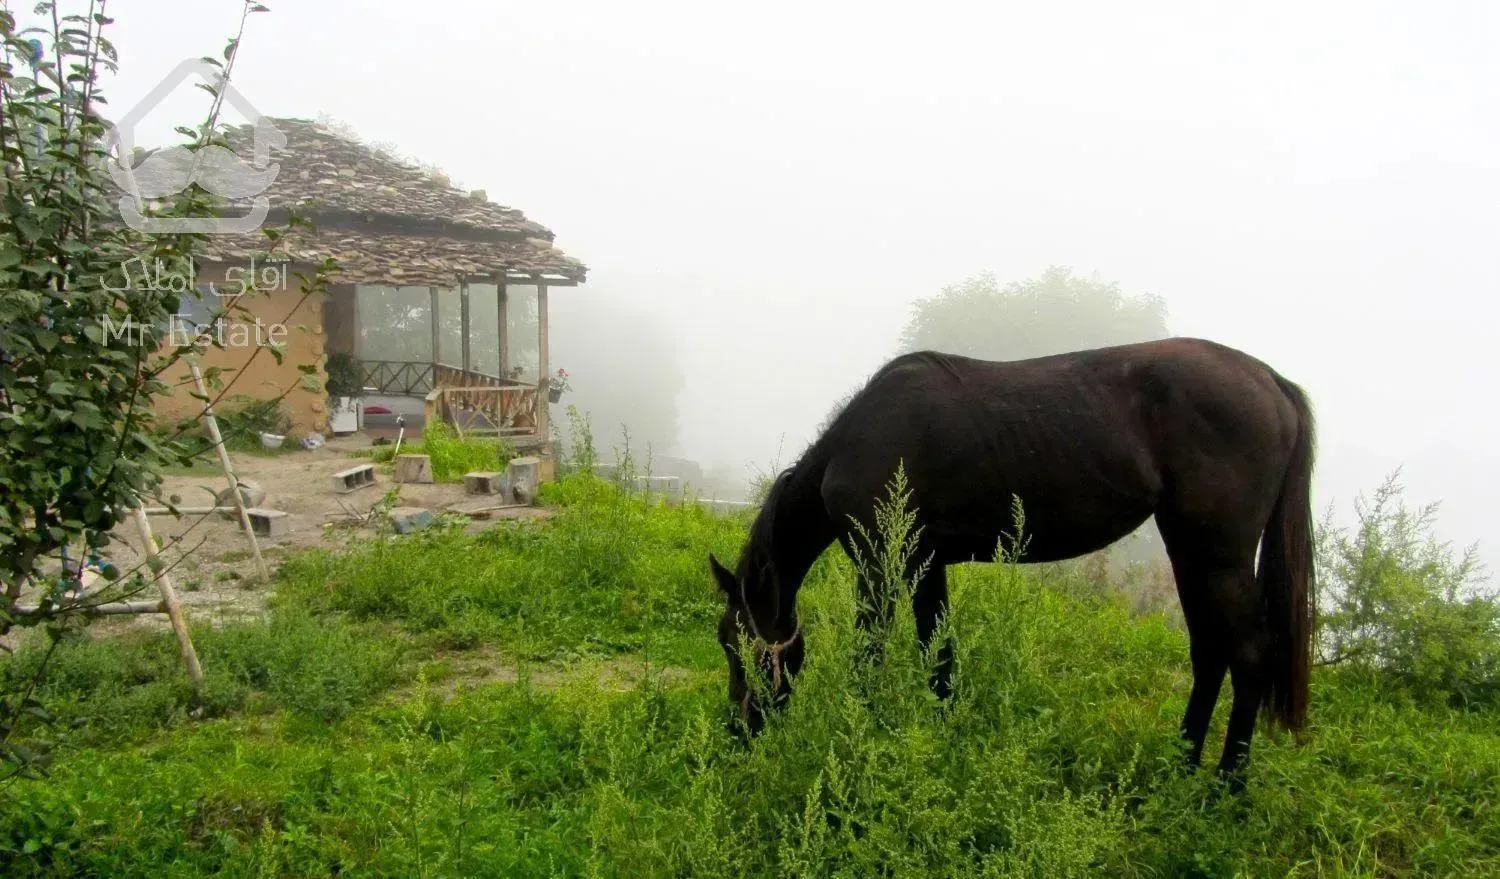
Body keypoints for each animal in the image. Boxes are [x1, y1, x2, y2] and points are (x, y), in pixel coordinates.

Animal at [708, 336, 1308, 780]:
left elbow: (868, 659)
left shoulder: (878, 566)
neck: (859, 439)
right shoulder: (926, 566)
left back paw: (1225, 789)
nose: (738, 730)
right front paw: (941, 742)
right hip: (1191, 554)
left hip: (1218, 557)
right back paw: (1180, 768)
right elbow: (940, 659)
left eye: (737, 644)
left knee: (1248, 655)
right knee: (1210, 654)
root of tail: (1270, 380)